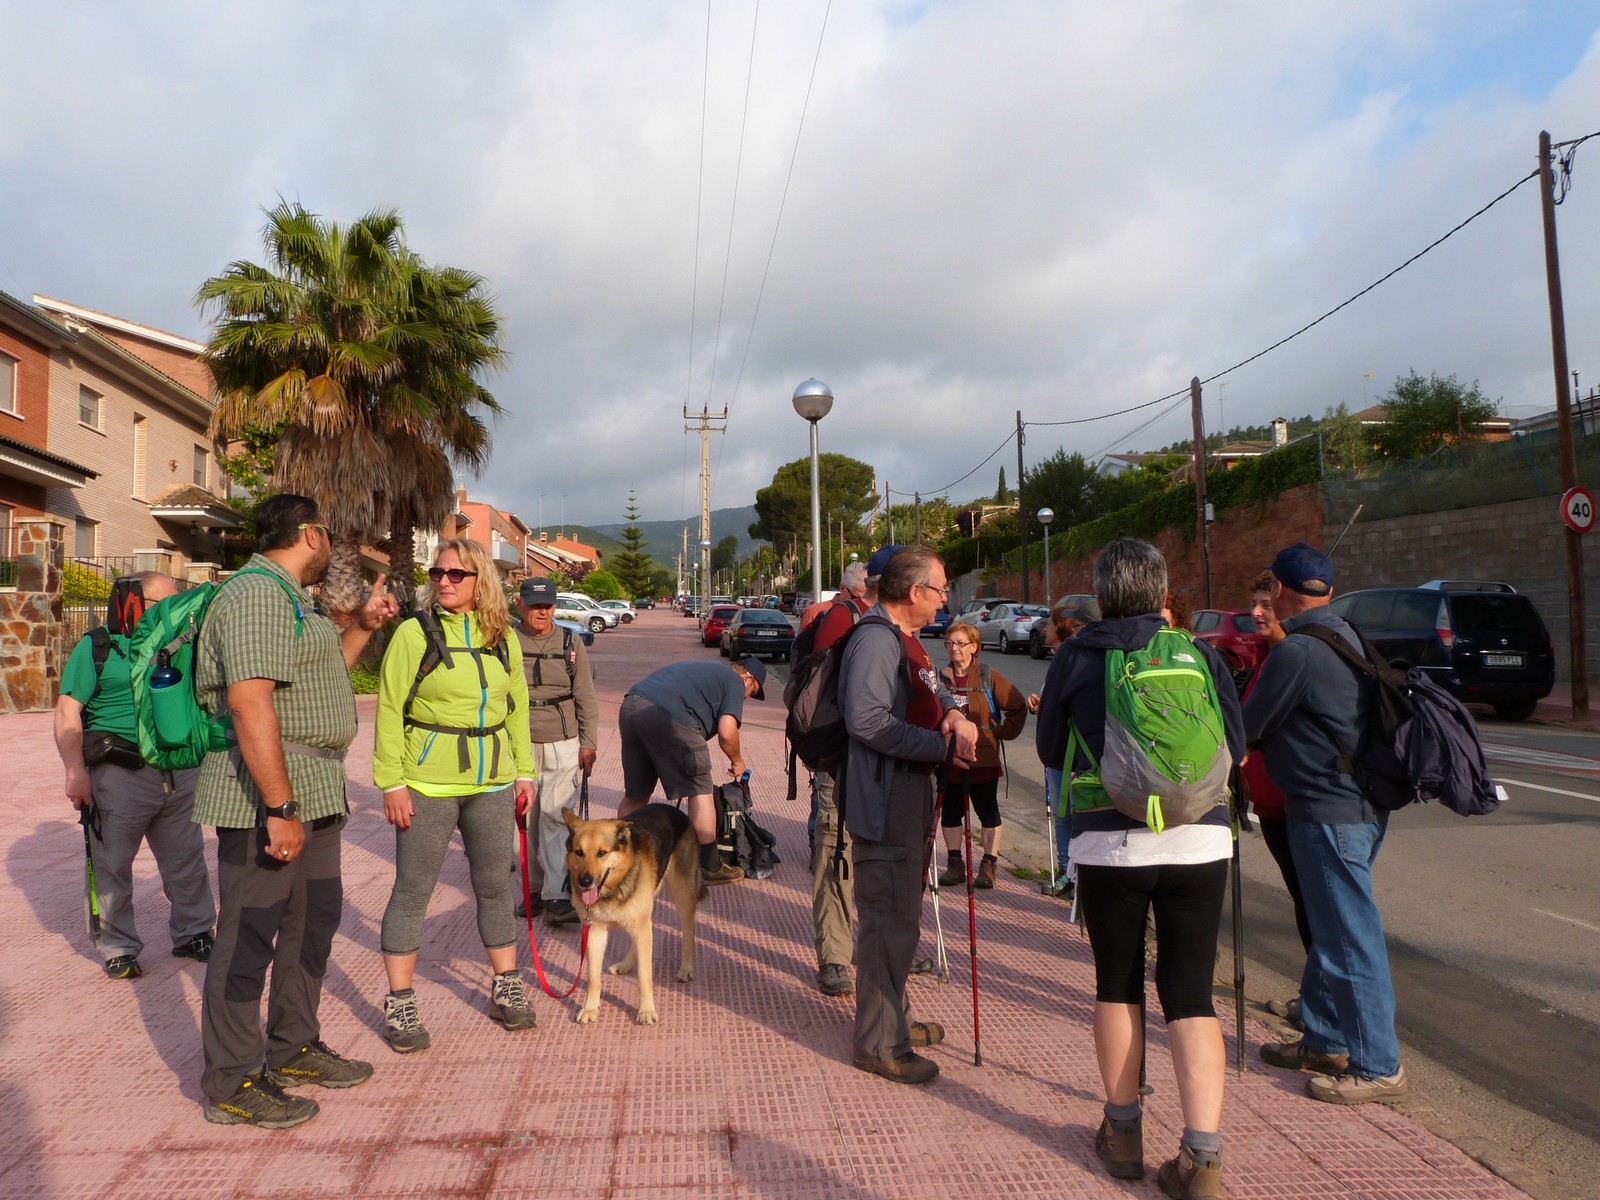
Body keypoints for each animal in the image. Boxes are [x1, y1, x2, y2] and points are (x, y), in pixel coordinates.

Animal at [563, 803, 702, 1025]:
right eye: (579, 852)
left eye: (602, 853)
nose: (585, 882)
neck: (614, 887)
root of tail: (675, 809)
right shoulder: (595, 932)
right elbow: (593, 978)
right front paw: (590, 1008)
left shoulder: (643, 927)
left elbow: (644, 978)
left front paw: (646, 1011)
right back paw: (625, 964)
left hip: (682, 897)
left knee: (689, 933)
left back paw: (687, 968)